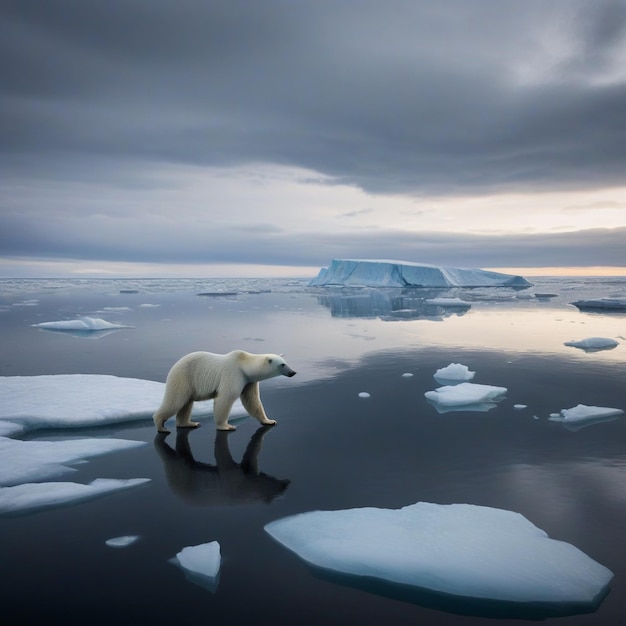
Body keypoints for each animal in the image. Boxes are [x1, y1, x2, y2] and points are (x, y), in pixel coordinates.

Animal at [152, 348, 296, 432]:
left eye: (286, 362)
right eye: (282, 364)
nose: (293, 372)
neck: (244, 364)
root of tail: (175, 365)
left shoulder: (249, 381)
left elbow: (252, 401)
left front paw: (269, 421)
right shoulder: (233, 374)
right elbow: (226, 398)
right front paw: (227, 426)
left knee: (186, 404)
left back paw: (189, 423)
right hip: (183, 377)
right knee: (176, 400)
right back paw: (161, 426)